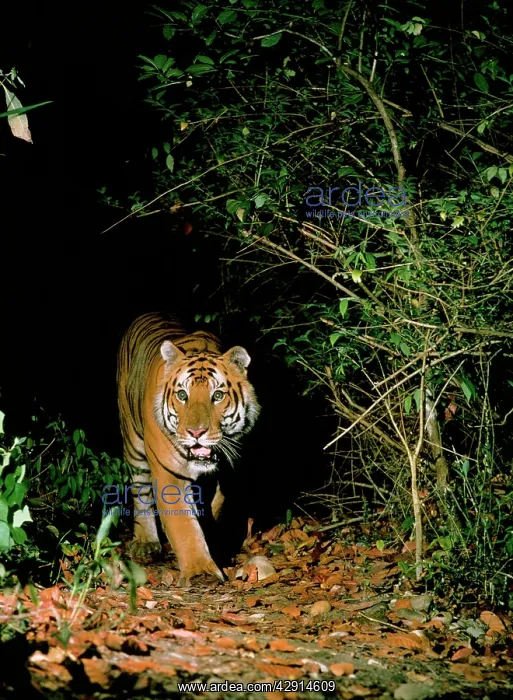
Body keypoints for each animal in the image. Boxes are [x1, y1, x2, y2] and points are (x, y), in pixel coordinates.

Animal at [116, 312, 260, 586]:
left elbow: (214, 509)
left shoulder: (227, 473)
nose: (196, 433)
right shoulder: (168, 473)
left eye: (217, 396)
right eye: (182, 395)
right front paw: (200, 570)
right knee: (140, 490)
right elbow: (184, 526)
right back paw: (146, 543)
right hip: (133, 444)